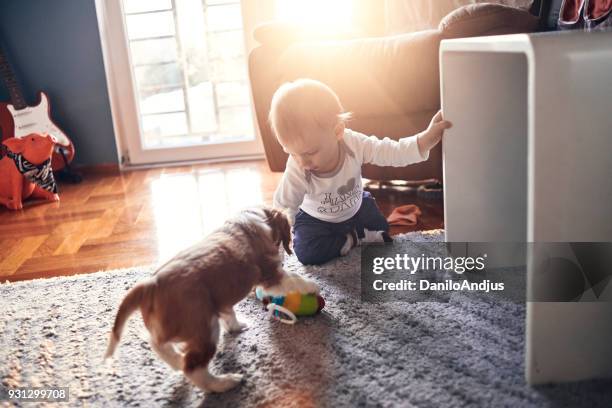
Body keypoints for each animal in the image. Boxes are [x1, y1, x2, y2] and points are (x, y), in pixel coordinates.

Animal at [103, 207, 318, 392]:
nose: (283, 258)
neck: (254, 216)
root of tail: (151, 284)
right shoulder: (271, 275)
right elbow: (292, 279)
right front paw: (312, 286)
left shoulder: (220, 299)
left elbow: (229, 314)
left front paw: (237, 326)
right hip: (204, 327)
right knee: (192, 368)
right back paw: (224, 383)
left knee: (156, 343)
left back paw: (175, 360)